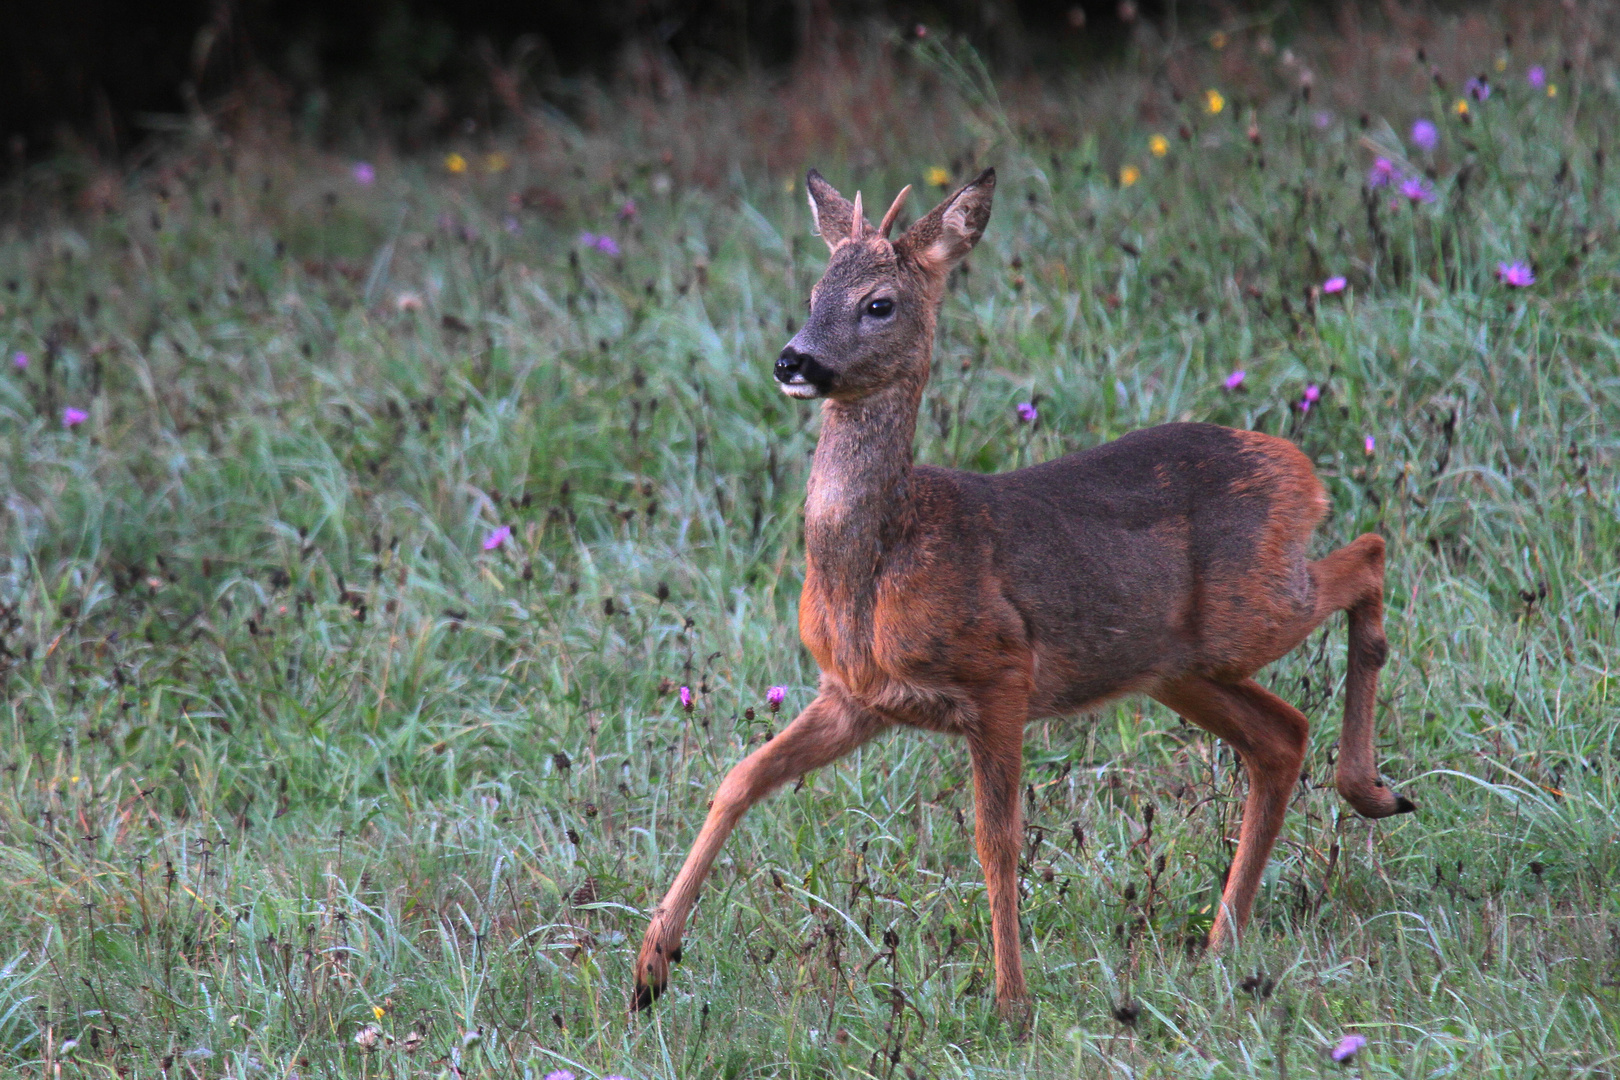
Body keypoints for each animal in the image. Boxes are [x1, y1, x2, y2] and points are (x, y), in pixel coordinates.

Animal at [631, 166, 1419, 1016]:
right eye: (814, 291)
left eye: (878, 303)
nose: (792, 362)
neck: (878, 558)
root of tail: (1299, 470)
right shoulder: (856, 695)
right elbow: (740, 779)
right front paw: (651, 967)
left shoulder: (999, 672)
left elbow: (996, 840)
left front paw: (1011, 1003)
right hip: (1176, 666)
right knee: (1280, 734)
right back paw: (1225, 935)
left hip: (1249, 609)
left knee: (1368, 557)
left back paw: (1367, 793)